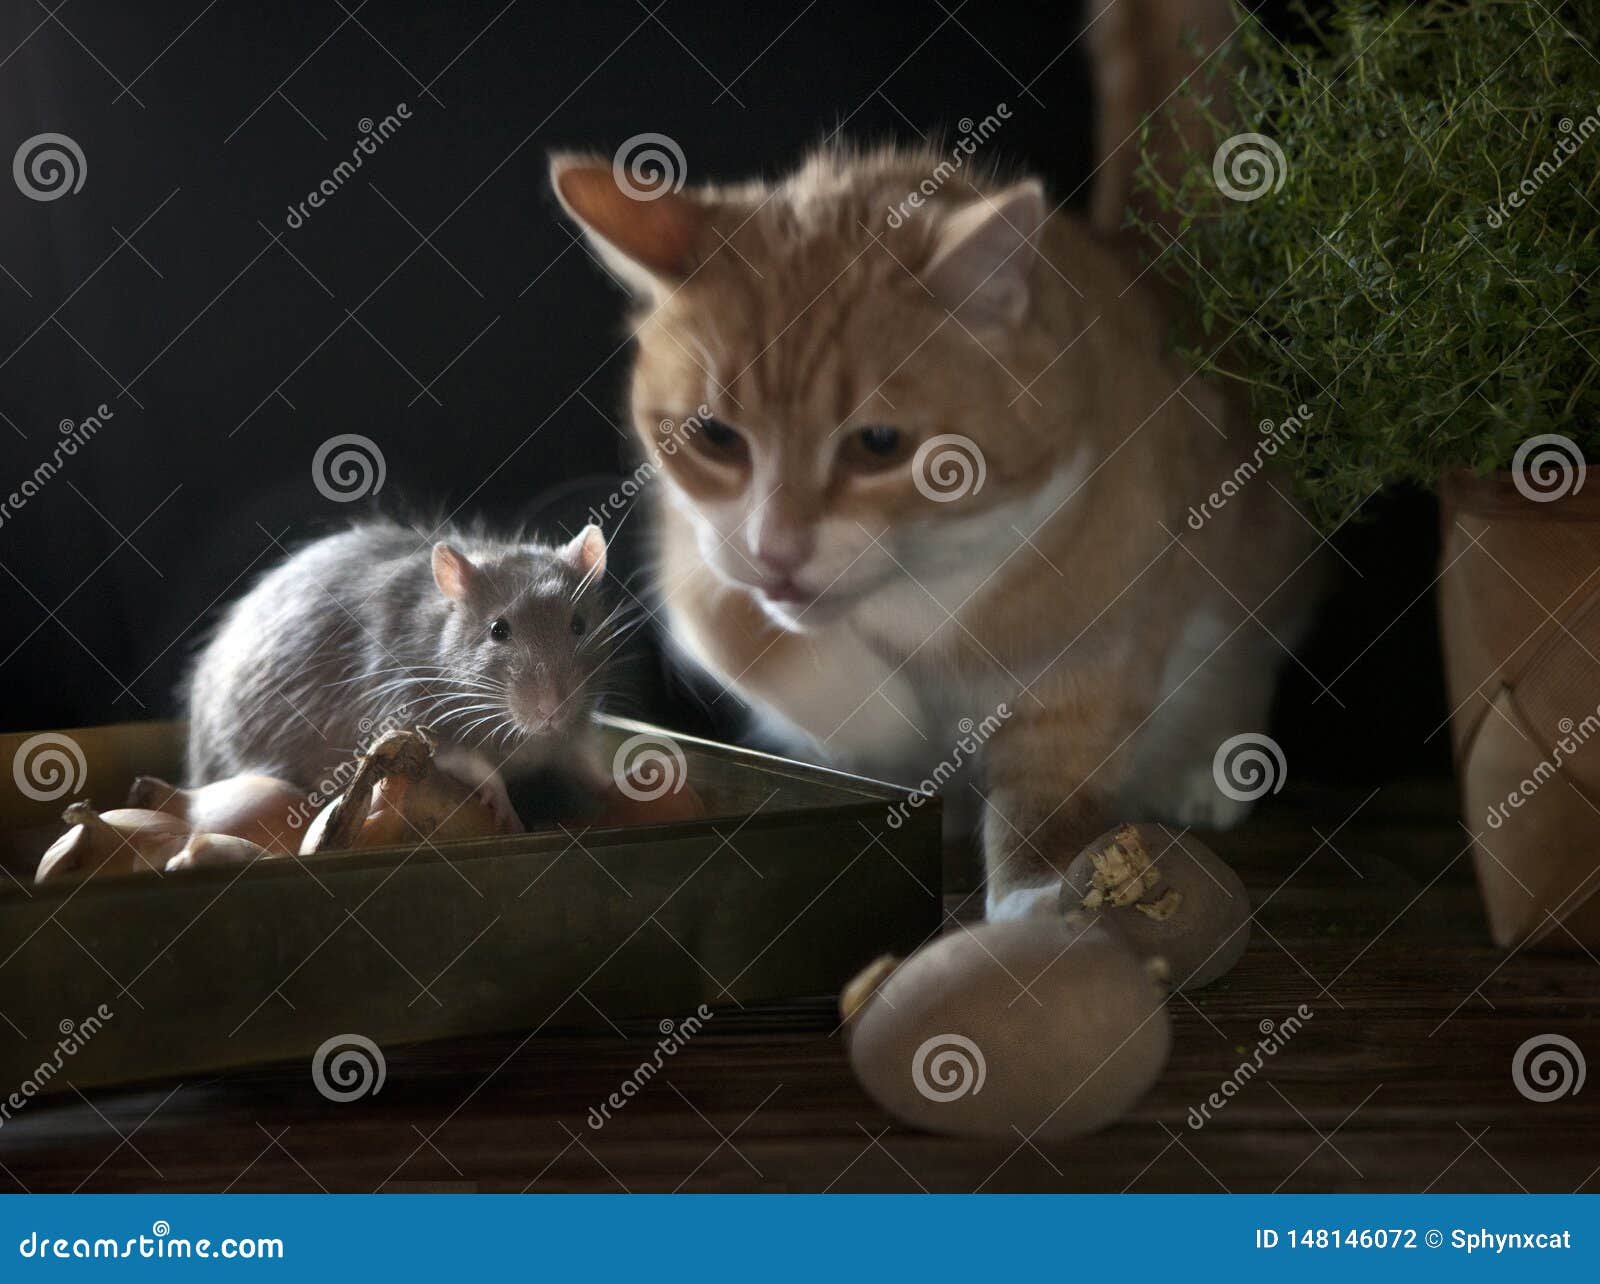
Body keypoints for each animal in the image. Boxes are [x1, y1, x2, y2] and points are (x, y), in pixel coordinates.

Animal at [550, 2, 1324, 922]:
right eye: (715, 436)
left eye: (879, 444)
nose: (779, 550)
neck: (924, 588)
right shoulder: (698, 562)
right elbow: (778, 650)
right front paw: (891, 736)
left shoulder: (1104, 633)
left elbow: (1050, 781)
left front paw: (1039, 898)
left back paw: (1205, 772)